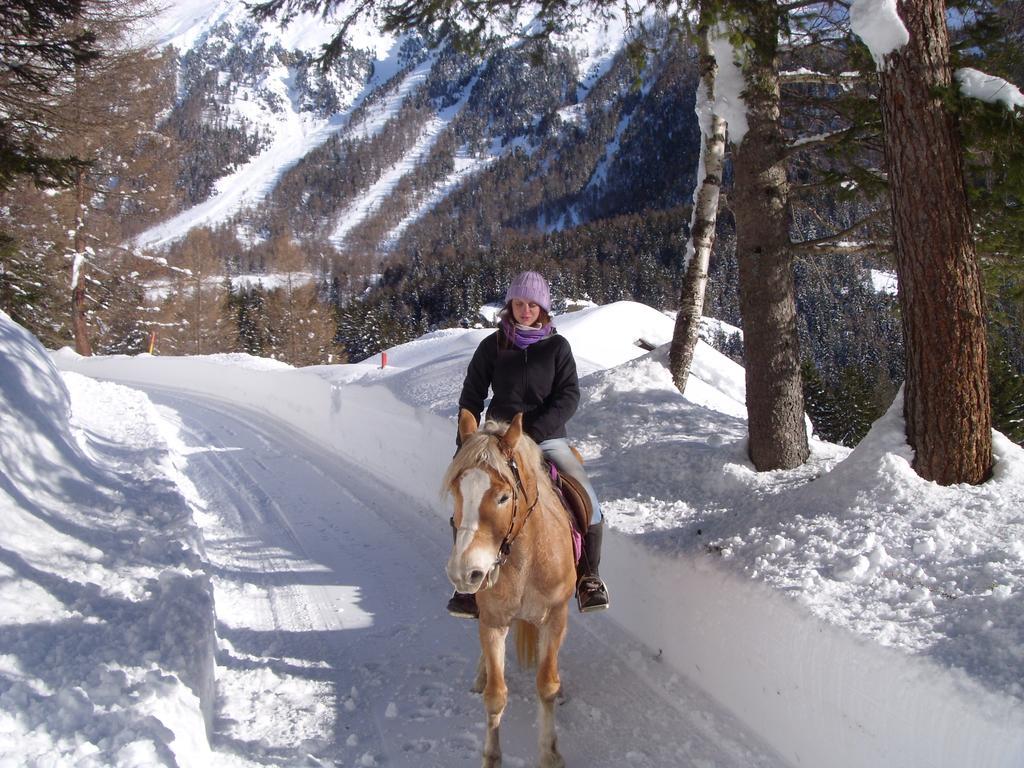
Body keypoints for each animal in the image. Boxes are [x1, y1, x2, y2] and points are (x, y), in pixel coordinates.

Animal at [444, 411, 581, 768]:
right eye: (456, 491)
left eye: (504, 496)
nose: (465, 572)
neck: (526, 559)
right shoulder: (493, 620)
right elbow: (496, 695)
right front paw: (492, 757)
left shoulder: (555, 617)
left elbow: (546, 685)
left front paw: (549, 753)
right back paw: (480, 675)